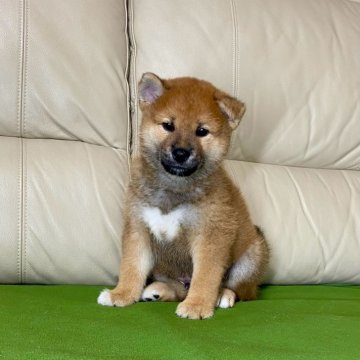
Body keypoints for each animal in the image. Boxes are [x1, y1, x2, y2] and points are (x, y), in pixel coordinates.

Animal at [97, 72, 268, 318]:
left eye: (202, 131)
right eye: (168, 125)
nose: (180, 153)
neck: (174, 186)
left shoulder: (210, 236)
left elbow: (205, 276)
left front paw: (197, 305)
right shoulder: (138, 229)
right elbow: (131, 267)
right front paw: (121, 294)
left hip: (251, 255)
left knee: (239, 290)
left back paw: (223, 295)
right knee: (179, 289)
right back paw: (157, 291)